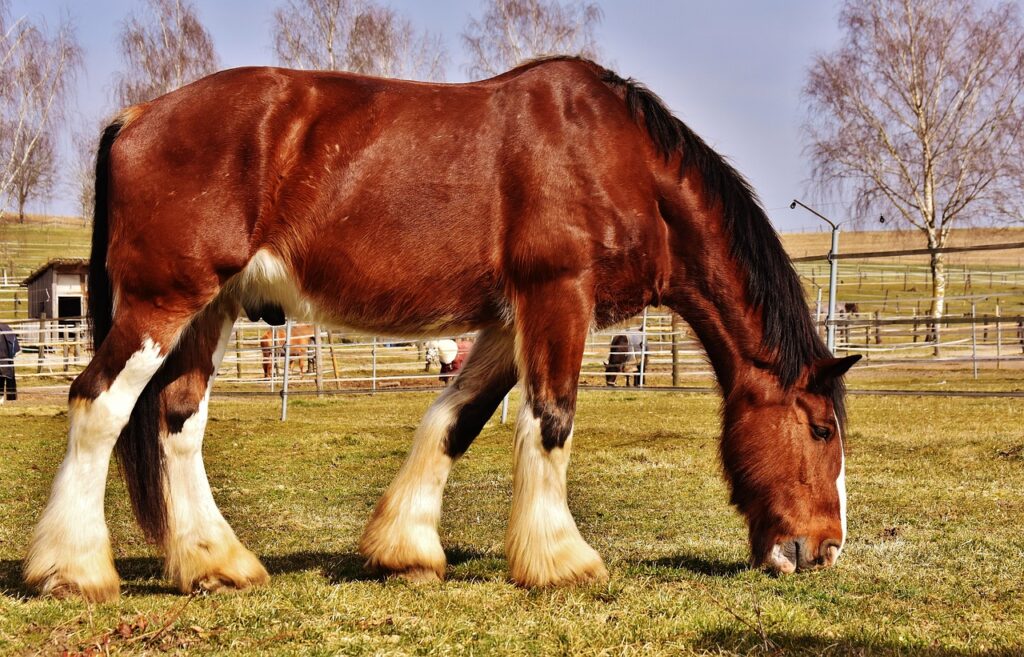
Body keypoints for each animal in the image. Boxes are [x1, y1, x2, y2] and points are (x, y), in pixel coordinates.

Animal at [25, 57, 859, 602]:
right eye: (820, 429)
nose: (822, 549)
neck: (619, 160)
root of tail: (138, 117)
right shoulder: (558, 296)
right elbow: (551, 420)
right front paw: (561, 560)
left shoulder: (505, 321)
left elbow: (455, 419)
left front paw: (406, 548)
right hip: (163, 302)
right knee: (99, 404)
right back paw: (74, 570)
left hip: (212, 308)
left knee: (177, 418)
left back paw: (215, 564)